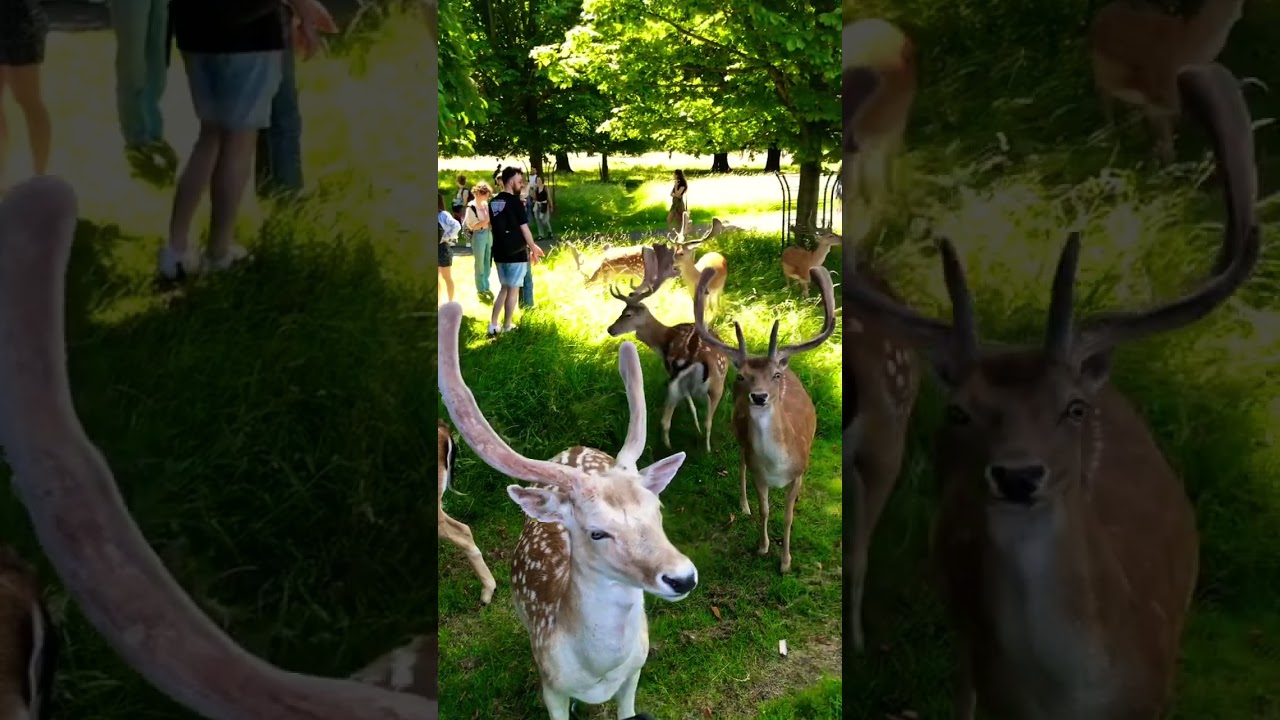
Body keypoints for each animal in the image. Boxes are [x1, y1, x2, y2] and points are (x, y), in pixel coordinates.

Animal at [607, 245, 728, 453]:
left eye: (627, 314)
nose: (610, 329)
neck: (664, 339)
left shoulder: (671, 371)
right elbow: (692, 406)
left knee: (669, 421)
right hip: (714, 383)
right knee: (704, 421)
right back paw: (702, 449)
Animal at [692, 265, 836, 574]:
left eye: (775, 376)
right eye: (742, 376)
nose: (759, 396)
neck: (778, 466)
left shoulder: (800, 471)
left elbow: (789, 516)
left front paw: (785, 563)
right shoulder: (759, 474)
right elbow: (765, 509)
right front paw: (762, 547)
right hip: (738, 433)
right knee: (741, 463)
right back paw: (743, 506)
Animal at [1090, 0, 1245, 164]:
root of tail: (1101, 15)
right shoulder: (1157, 103)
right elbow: (1168, 149)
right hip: (1102, 77)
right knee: (1105, 102)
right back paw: (1110, 139)